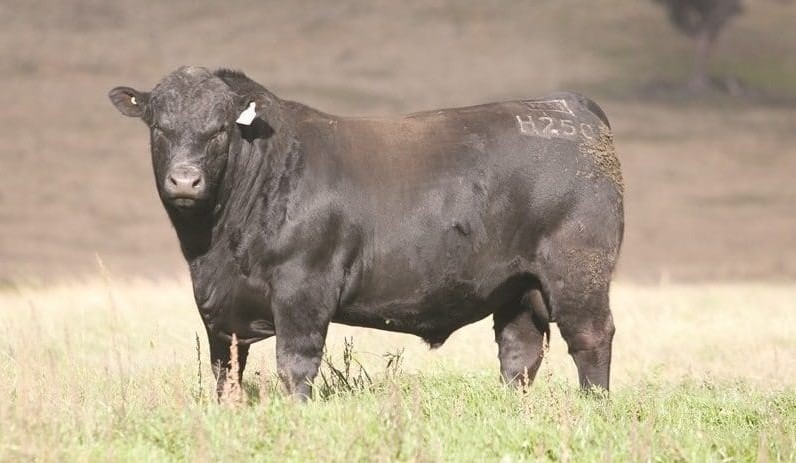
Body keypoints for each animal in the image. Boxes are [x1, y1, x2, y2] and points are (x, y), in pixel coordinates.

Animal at [109, 66, 623, 399]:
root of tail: (569, 106)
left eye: (219, 129)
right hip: (517, 287)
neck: (213, 248)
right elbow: (225, 369)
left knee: (590, 338)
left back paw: (594, 409)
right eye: (159, 126)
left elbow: (295, 364)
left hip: (578, 271)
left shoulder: (304, 286)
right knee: (519, 352)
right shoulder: (218, 309)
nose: (185, 180)